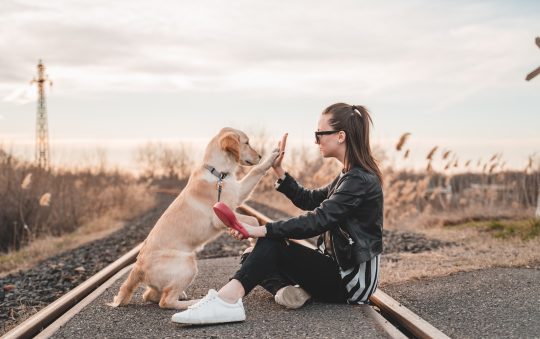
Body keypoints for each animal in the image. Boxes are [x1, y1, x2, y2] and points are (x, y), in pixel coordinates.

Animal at [108, 127, 280, 310]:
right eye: (246, 143)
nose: (260, 155)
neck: (218, 174)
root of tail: (137, 267)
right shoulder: (220, 215)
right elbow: (253, 220)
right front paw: (253, 241)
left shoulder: (238, 193)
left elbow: (256, 171)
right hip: (188, 263)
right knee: (165, 301)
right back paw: (195, 302)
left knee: (150, 295)